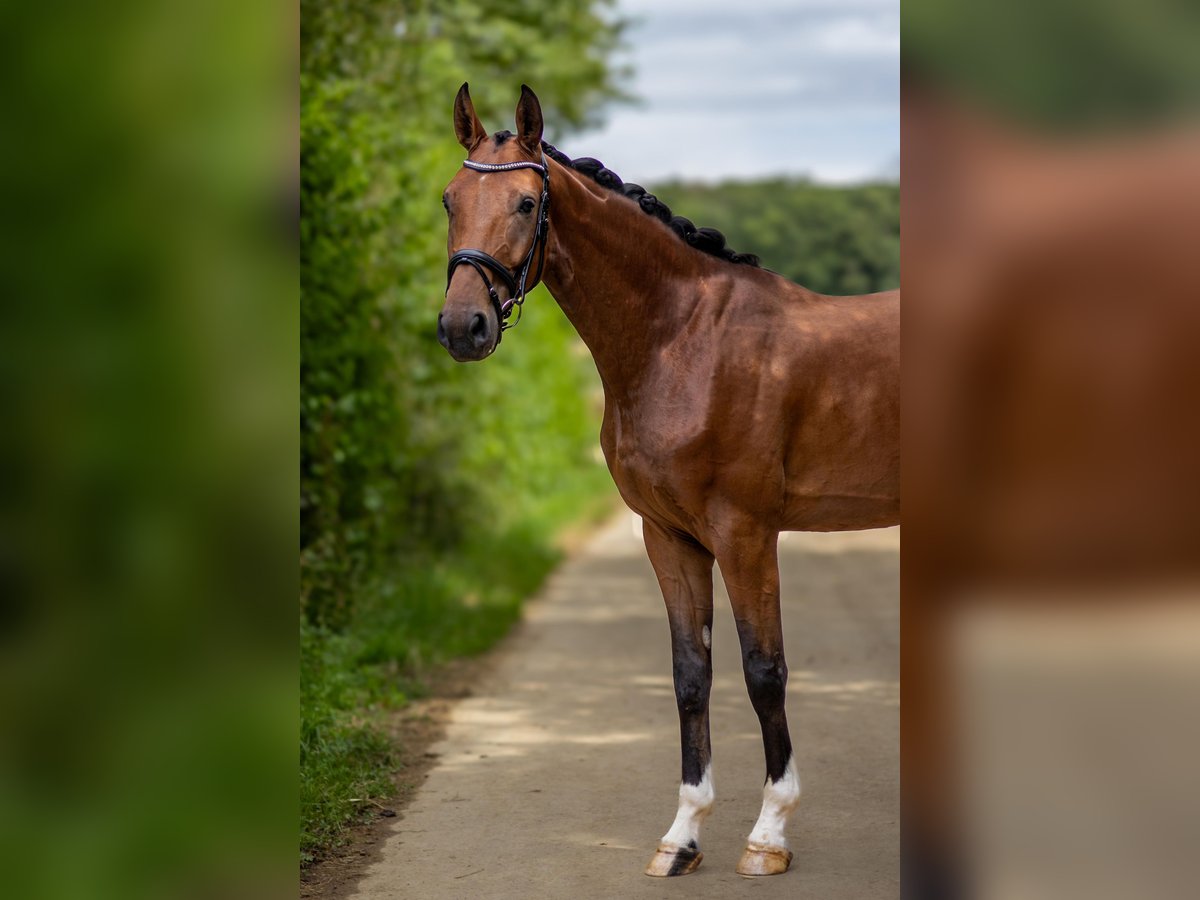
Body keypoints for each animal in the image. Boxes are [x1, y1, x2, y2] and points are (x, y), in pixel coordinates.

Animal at [436, 86, 897, 883]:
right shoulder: (669, 536)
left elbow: (763, 671)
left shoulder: (745, 533)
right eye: (449, 200)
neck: (682, 339)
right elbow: (691, 675)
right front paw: (682, 837)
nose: (464, 326)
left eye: (527, 202)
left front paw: (767, 837)